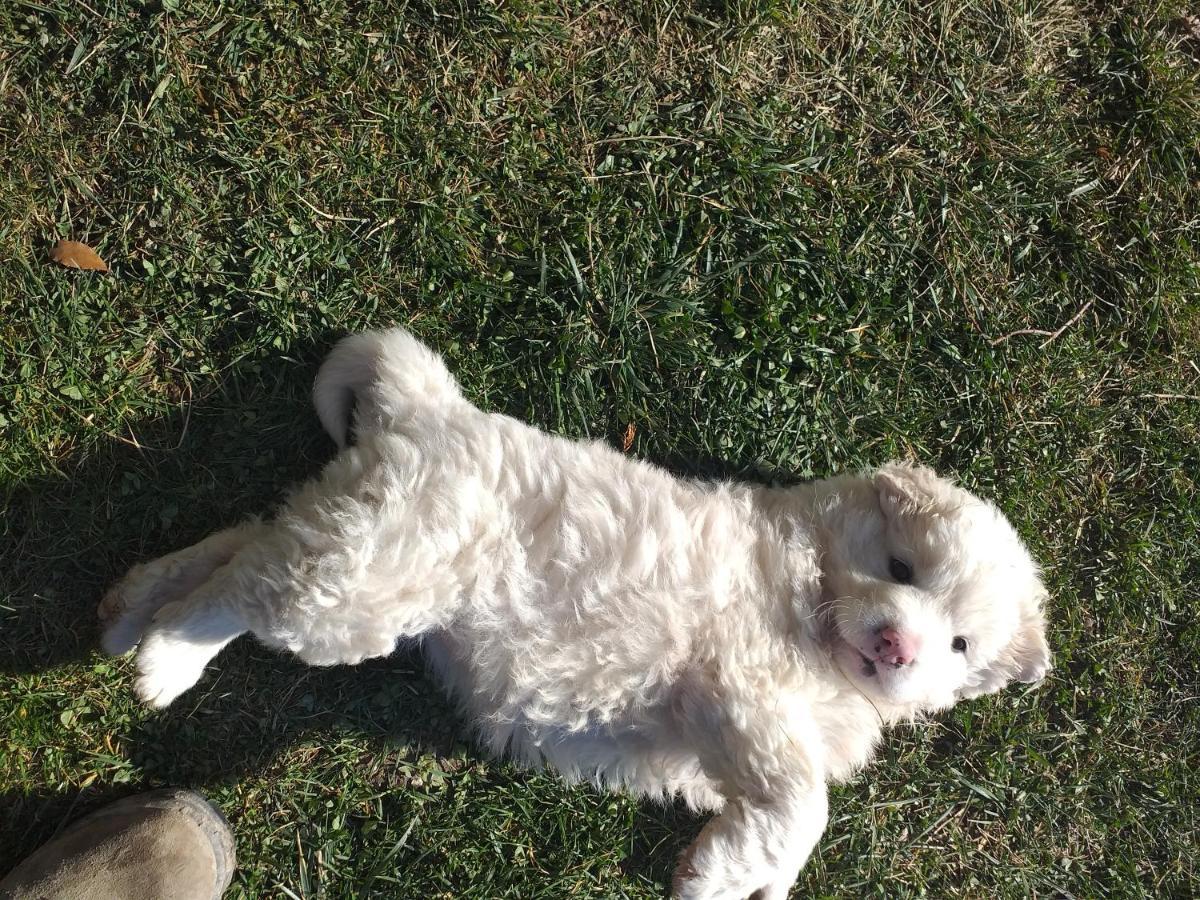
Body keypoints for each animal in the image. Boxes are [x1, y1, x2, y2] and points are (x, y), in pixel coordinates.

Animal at [98, 331, 1051, 900]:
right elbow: (803, 803)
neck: (810, 582)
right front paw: (717, 874)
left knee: (250, 539)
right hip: (369, 585)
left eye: (959, 644)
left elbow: (785, 821)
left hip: (355, 545)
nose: (896, 647)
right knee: (246, 585)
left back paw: (128, 607)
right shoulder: (737, 693)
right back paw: (164, 658)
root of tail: (433, 408)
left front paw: (746, 875)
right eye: (901, 568)